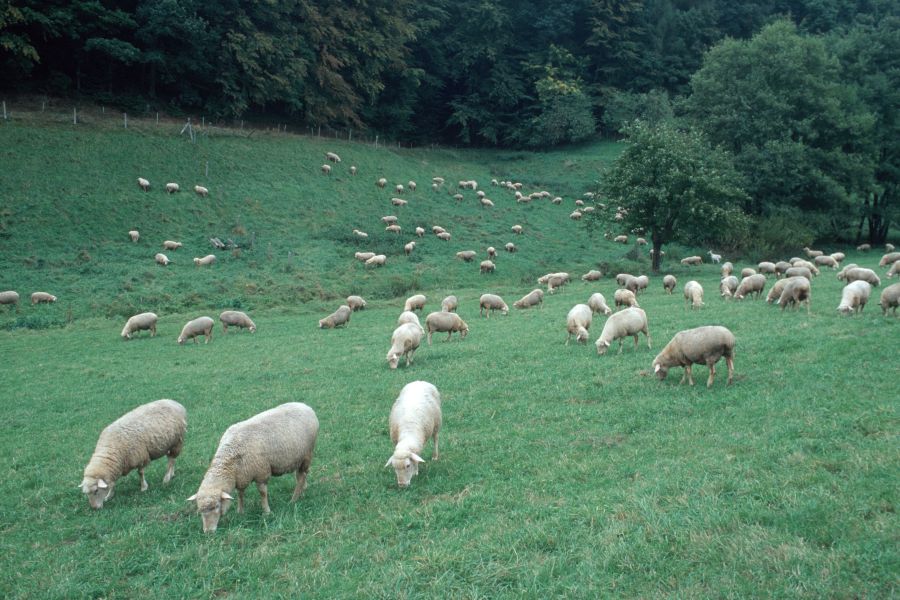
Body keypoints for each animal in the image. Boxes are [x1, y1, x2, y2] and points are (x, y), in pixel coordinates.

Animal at [188, 402, 318, 532]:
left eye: (217, 506)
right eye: (200, 510)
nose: (208, 532)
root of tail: (306, 406)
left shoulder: (261, 473)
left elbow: (262, 493)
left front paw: (266, 512)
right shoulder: (241, 476)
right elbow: (240, 494)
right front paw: (240, 512)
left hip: (307, 454)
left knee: (301, 476)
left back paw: (293, 499)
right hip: (298, 458)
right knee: (301, 474)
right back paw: (303, 490)